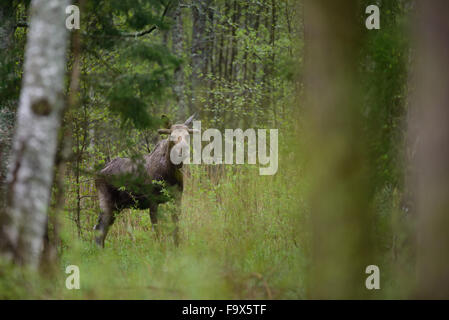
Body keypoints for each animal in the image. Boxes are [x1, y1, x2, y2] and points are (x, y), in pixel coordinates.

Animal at [92, 114, 194, 248]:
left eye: (188, 136)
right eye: (171, 137)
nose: (183, 150)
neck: (170, 172)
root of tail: (97, 174)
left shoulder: (177, 198)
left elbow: (175, 228)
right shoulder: (153, 200)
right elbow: (157, 230)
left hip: (117, 206)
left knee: (102, 229)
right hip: (107, 202)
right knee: (99, 228)